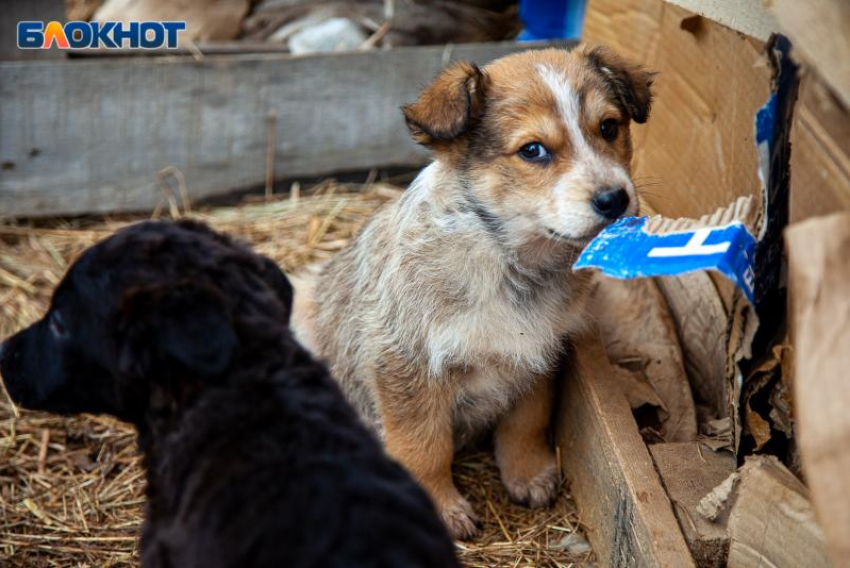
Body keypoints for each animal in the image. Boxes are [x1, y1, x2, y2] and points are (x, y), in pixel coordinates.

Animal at [294, 46, 652, 540]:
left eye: (609, 127)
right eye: (533, 150)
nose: (614, 200)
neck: (508, 264)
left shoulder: (537, 355)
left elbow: (526, 422)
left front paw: (527, 473)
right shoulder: (405, 363)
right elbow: (423, 447)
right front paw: (440, 507)